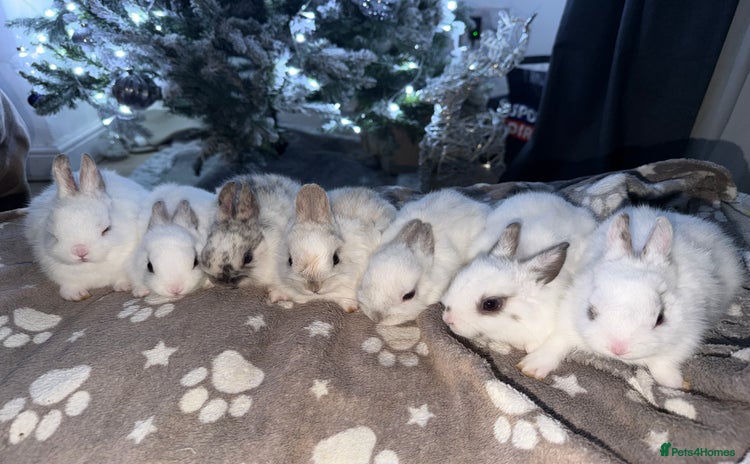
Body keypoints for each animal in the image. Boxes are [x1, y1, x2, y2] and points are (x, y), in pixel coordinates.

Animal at [24, 153, 147, 301]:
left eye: (106, 229)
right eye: (54, 236)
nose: (80, 251)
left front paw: (124, 286)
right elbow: (70, 285)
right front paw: (75, 295)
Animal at [518, 205, 744, 389]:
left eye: (660, 318)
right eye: (591, 312)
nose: (618, 349)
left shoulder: (687, 336)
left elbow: (663, 365)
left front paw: (675, 384)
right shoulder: (566, 319)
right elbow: (557, 342)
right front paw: (532, 367)